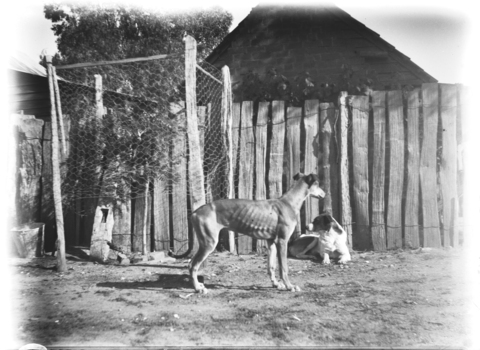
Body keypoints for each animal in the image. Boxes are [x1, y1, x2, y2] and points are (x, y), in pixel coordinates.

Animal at [187, 174, 322, 294]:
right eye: (318, 184)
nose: (324, 193)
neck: (288, 202)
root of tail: (195, 212)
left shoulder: (271, 242)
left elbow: (271, 266)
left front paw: (276, 284)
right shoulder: (282, 241)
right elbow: (284, 268)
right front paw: (289, 286)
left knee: (191, 264)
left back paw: (199, 285)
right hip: (208, 243)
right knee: (192, 266)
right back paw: (198, 288)